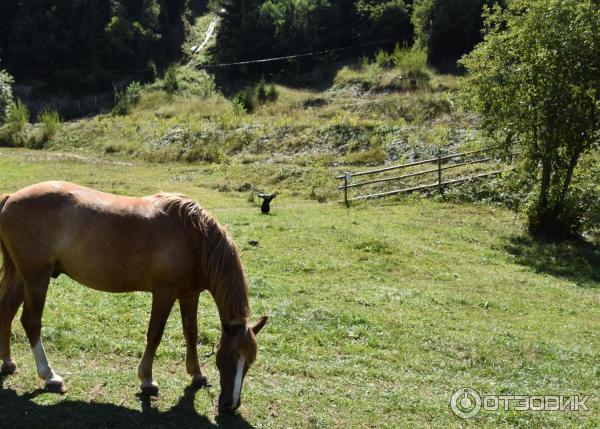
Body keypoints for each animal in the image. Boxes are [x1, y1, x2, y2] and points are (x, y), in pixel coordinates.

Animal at [0, 181, 268, 412]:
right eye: (231, 356)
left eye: (250, 360)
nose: (231, 405)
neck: (195, 238)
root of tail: (11, 198)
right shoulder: (164, 293)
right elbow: (155, 334)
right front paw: (147, 380)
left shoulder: (190, 295)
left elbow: (190, 332)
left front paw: (197, 375)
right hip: (36, 278)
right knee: (31, 321)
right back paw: (49, 376)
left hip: (22, 277)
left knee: (7, 311)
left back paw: (8, 362)